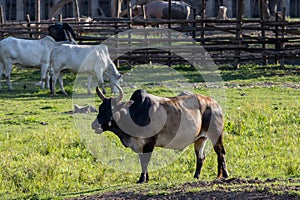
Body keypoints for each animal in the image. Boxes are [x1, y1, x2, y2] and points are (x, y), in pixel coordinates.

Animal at [92, 85, 229, 184]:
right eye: (100, 108)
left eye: (110, 109)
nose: (94, 125)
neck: (134, 114)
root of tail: (214, 102)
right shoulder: (140, 145)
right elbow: (142, 161)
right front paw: (145, 178)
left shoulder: (149, 143)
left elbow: (145, 161)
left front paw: (142, 179)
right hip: (200, 138)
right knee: (201, 157)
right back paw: (198, 176)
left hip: (216, 134)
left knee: (220, 152)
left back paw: (225, 174)